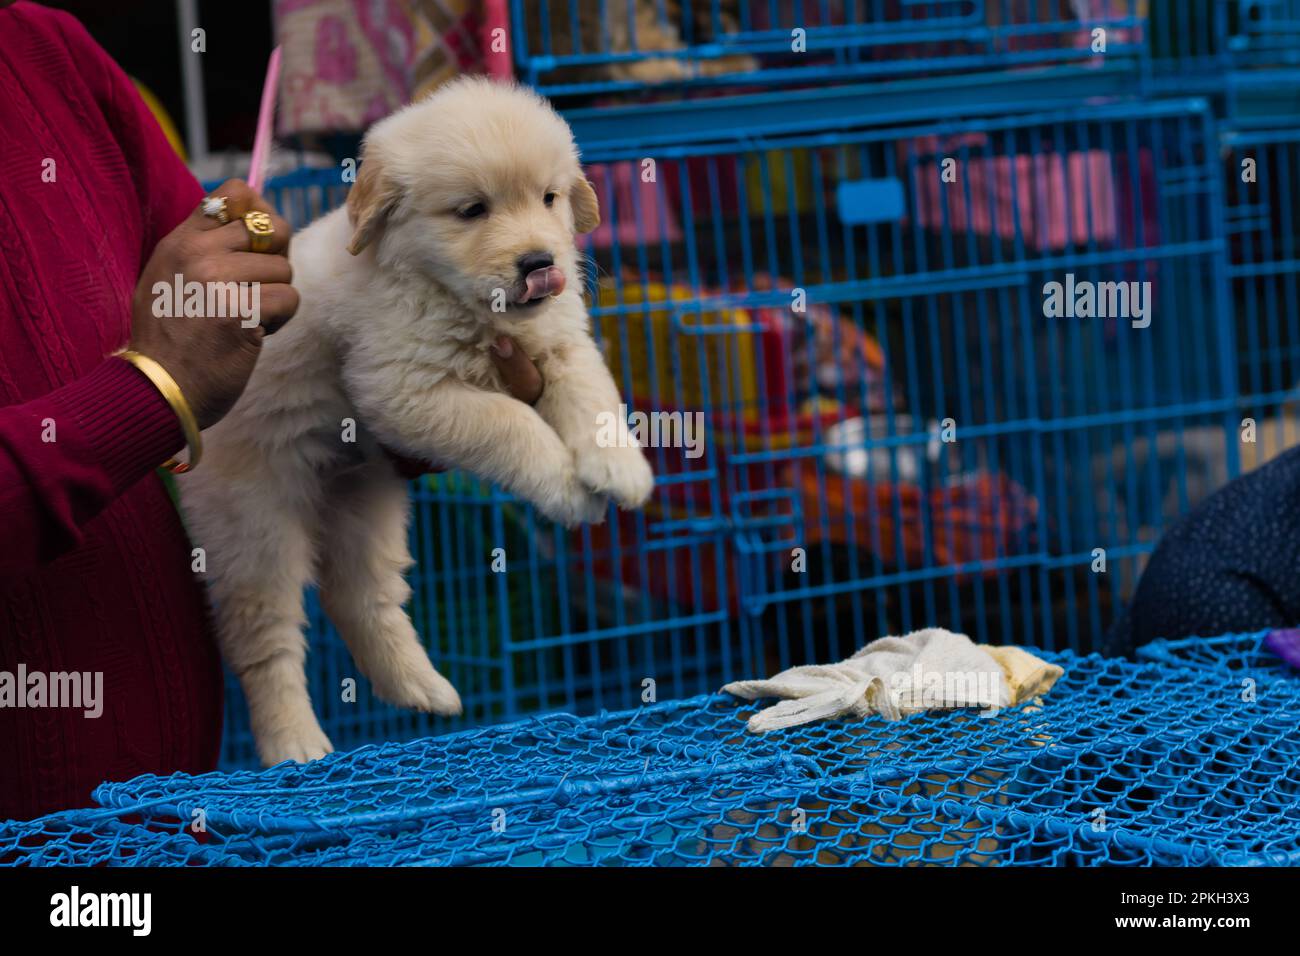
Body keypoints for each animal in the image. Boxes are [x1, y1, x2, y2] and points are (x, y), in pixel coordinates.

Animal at [178, 80, 655, 770]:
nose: (540, 262)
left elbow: (593, 395)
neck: (456, 298)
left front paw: (619, 469)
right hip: (253, 518)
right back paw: (294, 743)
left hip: (364, 497)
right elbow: (509, 421)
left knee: (362, 595)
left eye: (549, 197)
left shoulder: (560, 342)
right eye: (471, 210)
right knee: (266, 637)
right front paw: (568, 491)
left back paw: (422, 688)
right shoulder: (402, 389)